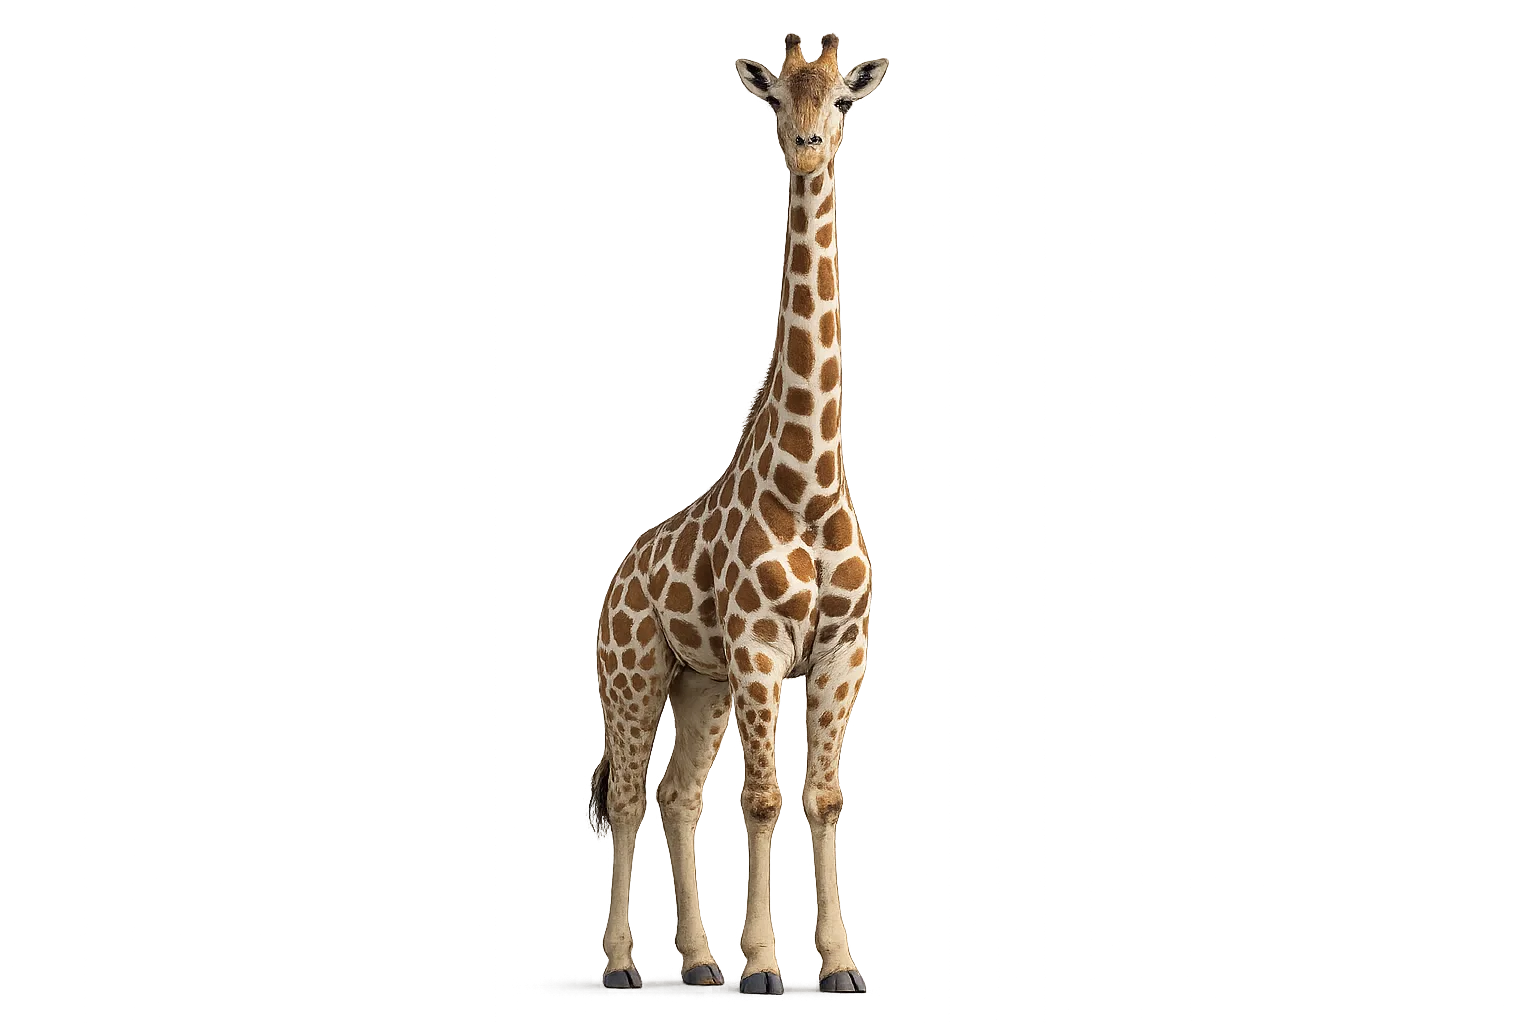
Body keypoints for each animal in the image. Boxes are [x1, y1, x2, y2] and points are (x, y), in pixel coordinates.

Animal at [584, 32, 888, 997]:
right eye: (776, 100)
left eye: (843, 101)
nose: (808, 149)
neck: (813, 483)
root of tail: (615, 577)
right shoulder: (760, 650)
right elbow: (760, 800)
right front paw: (765, 964)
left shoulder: (839, 655)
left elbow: (821, 799)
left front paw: (837, 963)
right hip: (636, 674)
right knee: (630, 798)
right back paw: (624, 964)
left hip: (699, 685)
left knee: (678, 798)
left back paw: (697, 960)